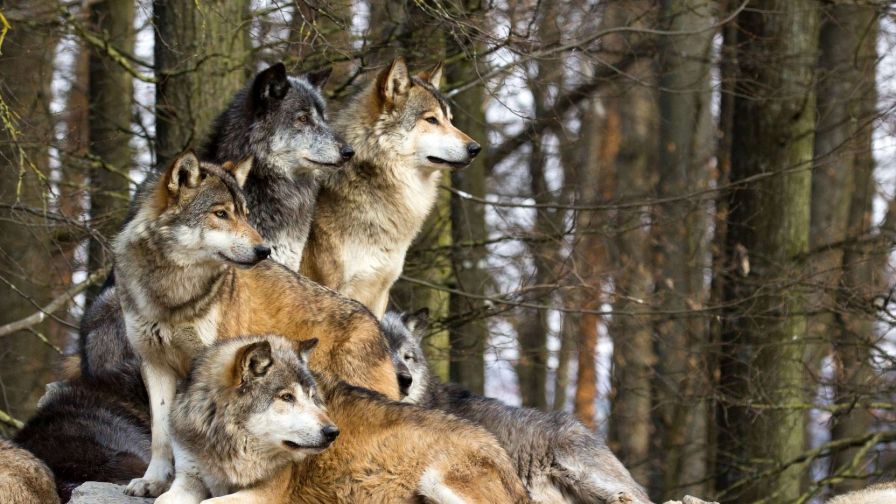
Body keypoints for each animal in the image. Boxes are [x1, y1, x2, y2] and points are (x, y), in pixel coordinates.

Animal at [157, 335, 336, 504]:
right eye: (287, 397)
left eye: (311, 396)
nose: (333, 432)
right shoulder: (188, 478)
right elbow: (160, 500)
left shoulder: (266, 492)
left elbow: (209, 501)